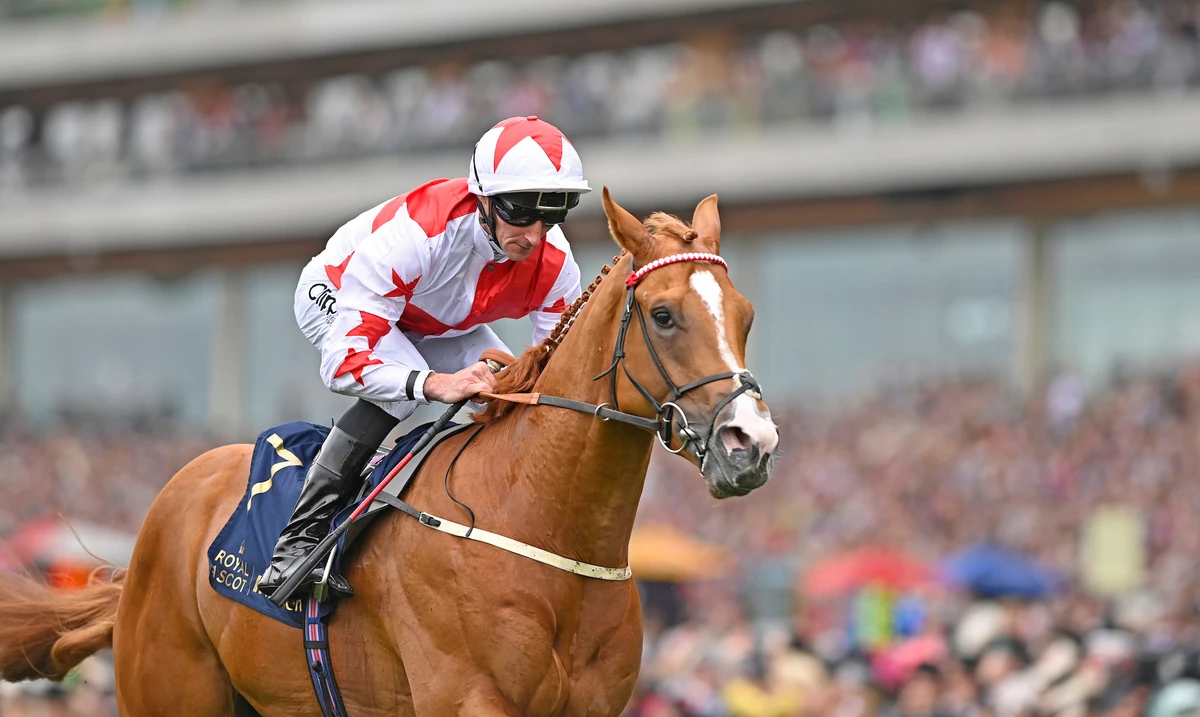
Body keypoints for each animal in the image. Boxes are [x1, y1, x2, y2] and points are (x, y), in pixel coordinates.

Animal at [0, 188, 779, 716]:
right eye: (664, 315)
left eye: (746, 315)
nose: (752, 441)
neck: (543, 526)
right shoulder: (468, 699)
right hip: (170, 688)